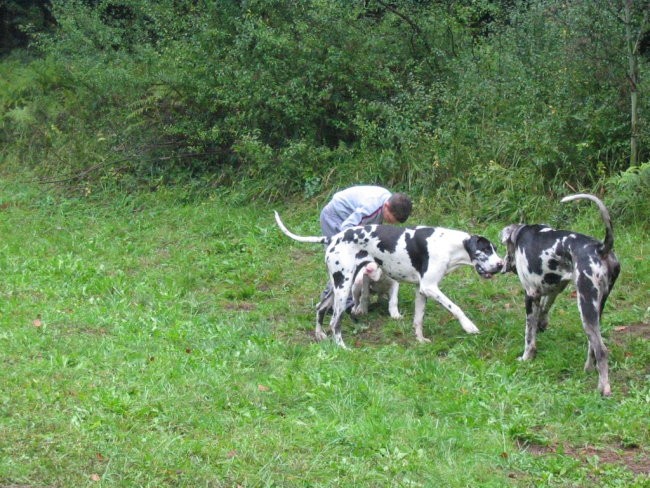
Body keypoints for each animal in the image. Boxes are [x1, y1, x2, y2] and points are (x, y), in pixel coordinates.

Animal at [272, 212, 502, 348]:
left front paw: (420, 339)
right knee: (334, 321)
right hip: (344, 288)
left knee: (320, 308)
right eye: (485, 250)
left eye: (495, 249)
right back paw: (342, 347)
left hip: (337, 287)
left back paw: (319, 335)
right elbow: (456, 308)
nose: (501, 265)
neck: (448, 245)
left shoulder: (422, 290)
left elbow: (418, 319)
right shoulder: (431, 287)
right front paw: (469, 326)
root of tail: (333, 238)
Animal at [498, 194, 620, 396]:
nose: (502, 265)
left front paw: (527, 357)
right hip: (596, 309)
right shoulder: (555, 288)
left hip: (585, 307)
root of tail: (600, 248)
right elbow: (544, 309)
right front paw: (542, 324)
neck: (521, 233)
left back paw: (603, 388)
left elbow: (529, 335)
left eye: (506, 249)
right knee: (592, 347)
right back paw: (588, 369)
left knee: (601, 351)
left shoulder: (530, 295)